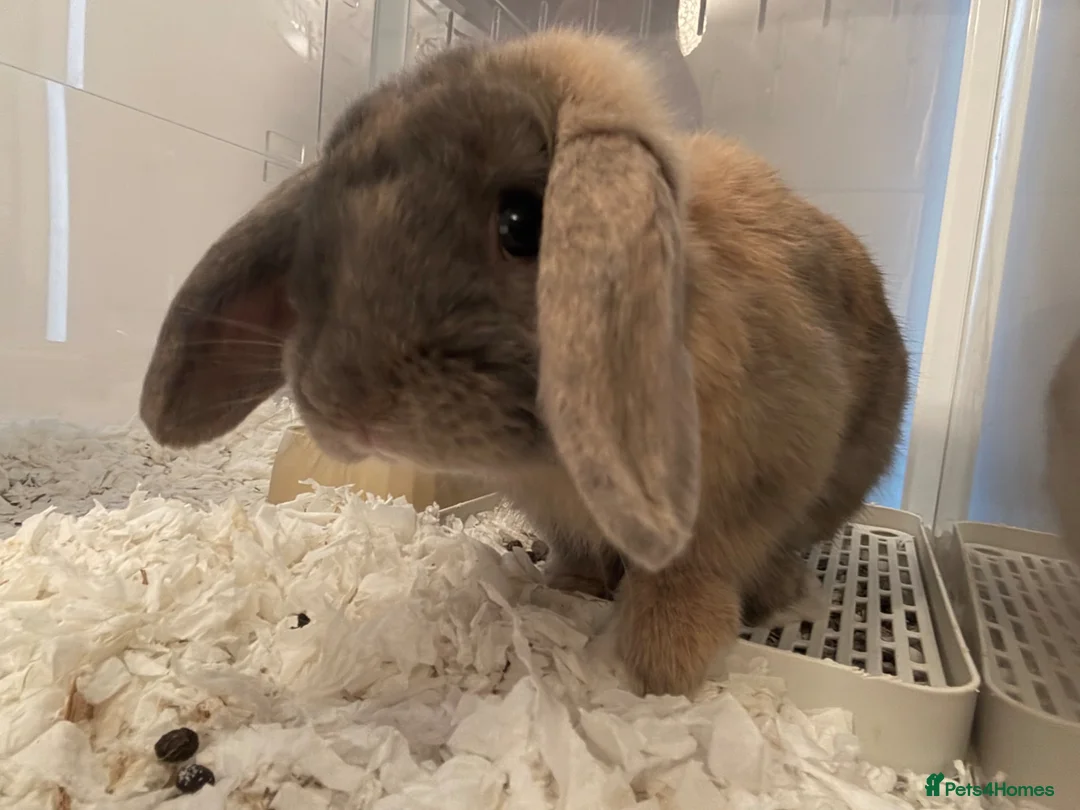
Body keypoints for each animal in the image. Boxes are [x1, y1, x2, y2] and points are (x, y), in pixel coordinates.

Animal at [139, 29, 910, 696]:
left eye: (522, 223)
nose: (346, 405)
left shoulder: (752, 489)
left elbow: (693, 570)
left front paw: (664, 663)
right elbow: (583, 555)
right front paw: (569, 591)